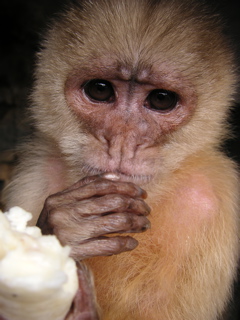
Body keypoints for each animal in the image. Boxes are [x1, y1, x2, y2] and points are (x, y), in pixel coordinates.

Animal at [2, 0, 240, 320]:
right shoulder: (35, 172)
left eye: (161, 99)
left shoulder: (216, 200)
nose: (122, 142)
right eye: (100, 90)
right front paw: (66, 229)